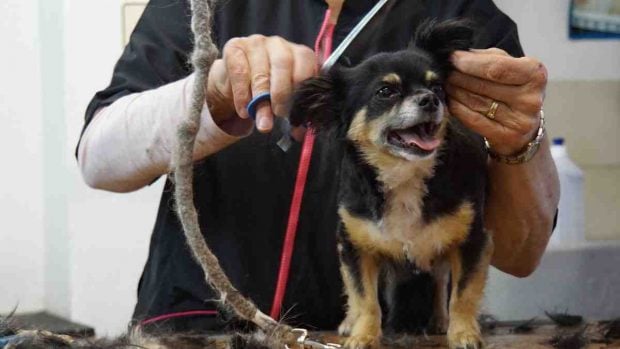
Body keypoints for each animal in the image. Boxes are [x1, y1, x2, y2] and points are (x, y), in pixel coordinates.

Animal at [290, 19, 494, 348]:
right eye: (386, 91)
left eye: (437, 87)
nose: (430, 99)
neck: (404, 174)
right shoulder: (355, 247)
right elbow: (365, 299)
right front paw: (363, 335)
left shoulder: (472, 241)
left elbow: (462, 296)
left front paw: (463, 333)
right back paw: (350, 322)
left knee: (440, 279)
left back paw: (441, 320)